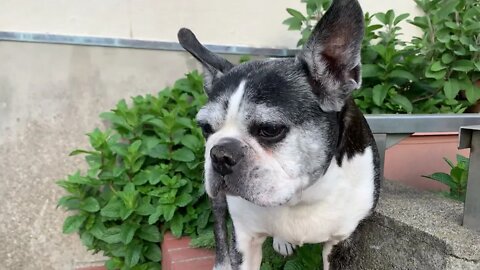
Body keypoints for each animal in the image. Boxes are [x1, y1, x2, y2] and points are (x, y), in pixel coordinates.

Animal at [178, 0, 380, 268]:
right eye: (205, 128)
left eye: (270, 130)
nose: (220, 153)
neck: (302, 197)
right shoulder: (245, 239)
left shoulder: (343, 242)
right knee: (219, 224)